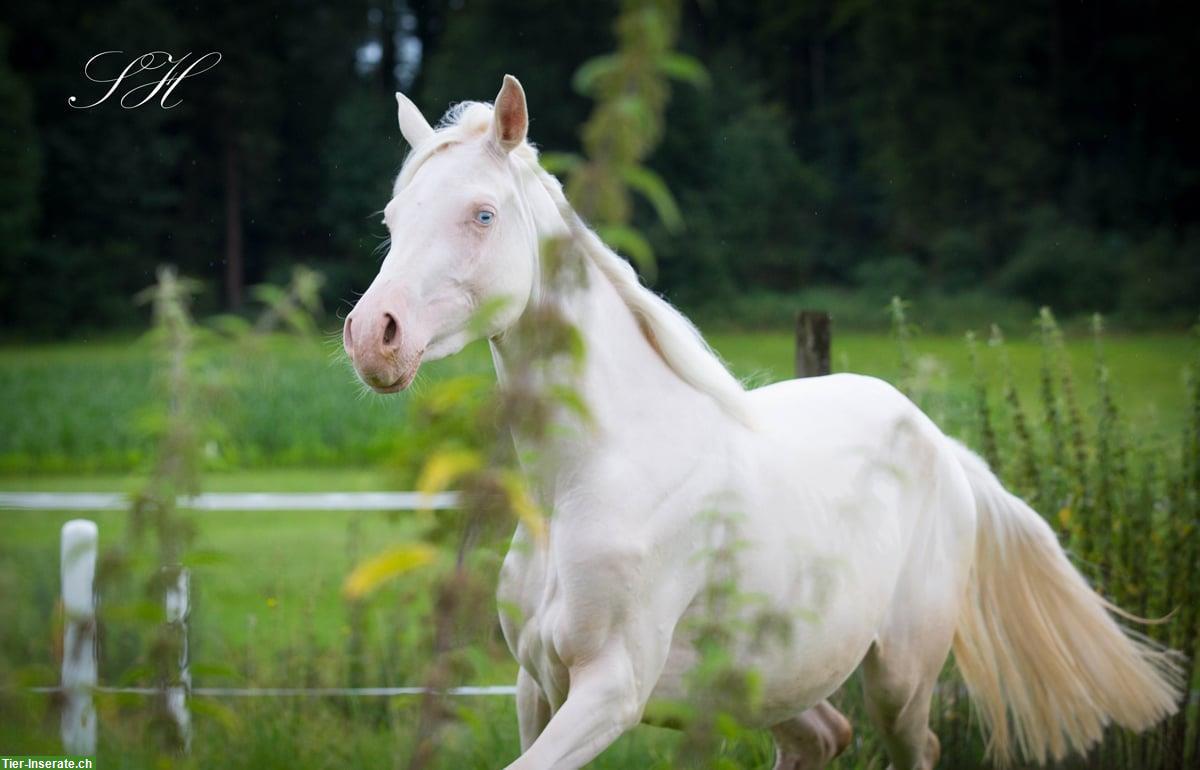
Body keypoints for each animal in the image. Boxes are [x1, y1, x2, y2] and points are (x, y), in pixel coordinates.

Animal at [340, 73, 1180, 767]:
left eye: (481, 214)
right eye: (392, 216)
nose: (373, 336)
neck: (588, 480)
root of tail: (942, 445)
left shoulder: (610, 692)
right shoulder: (533, 688)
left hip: (901, 676)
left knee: (911, 744)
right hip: (771, 682)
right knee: (824, 739)